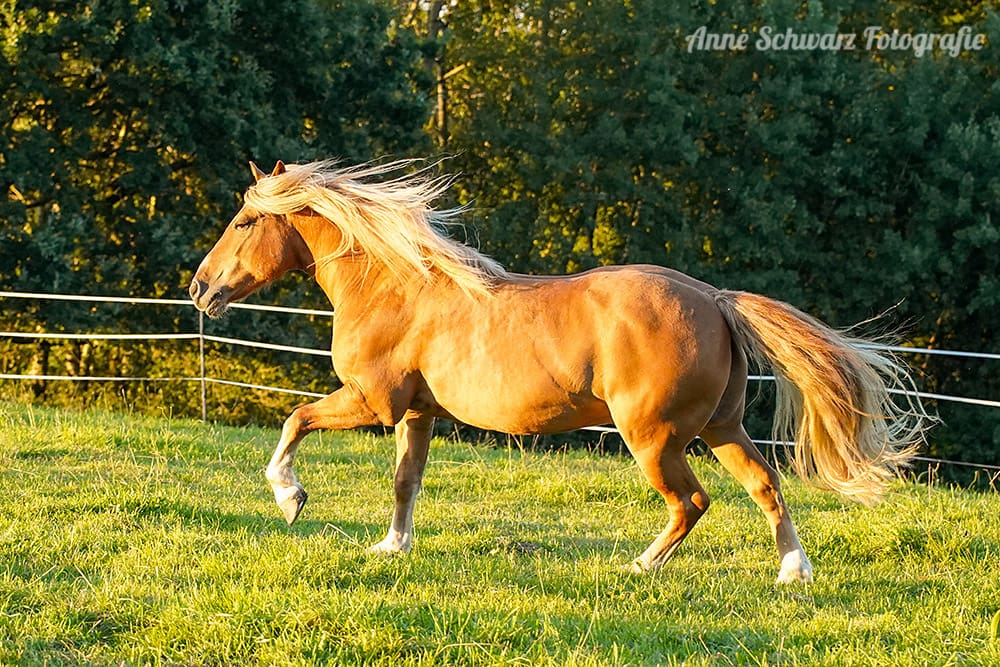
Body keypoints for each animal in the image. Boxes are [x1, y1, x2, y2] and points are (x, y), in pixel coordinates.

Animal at [190, 159, 928, 584]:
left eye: (246, 219)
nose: (200, 288)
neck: (397, 286)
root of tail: (714, 299)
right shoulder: (417, 412)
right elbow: (405, 483)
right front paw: (391, 548)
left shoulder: (372, 400)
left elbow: (295, 419)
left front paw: (289, 496)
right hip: (721, 428)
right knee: (765, 486)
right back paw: (792, 574)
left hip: (655, 439)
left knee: (692, 502)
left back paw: (641, 565)